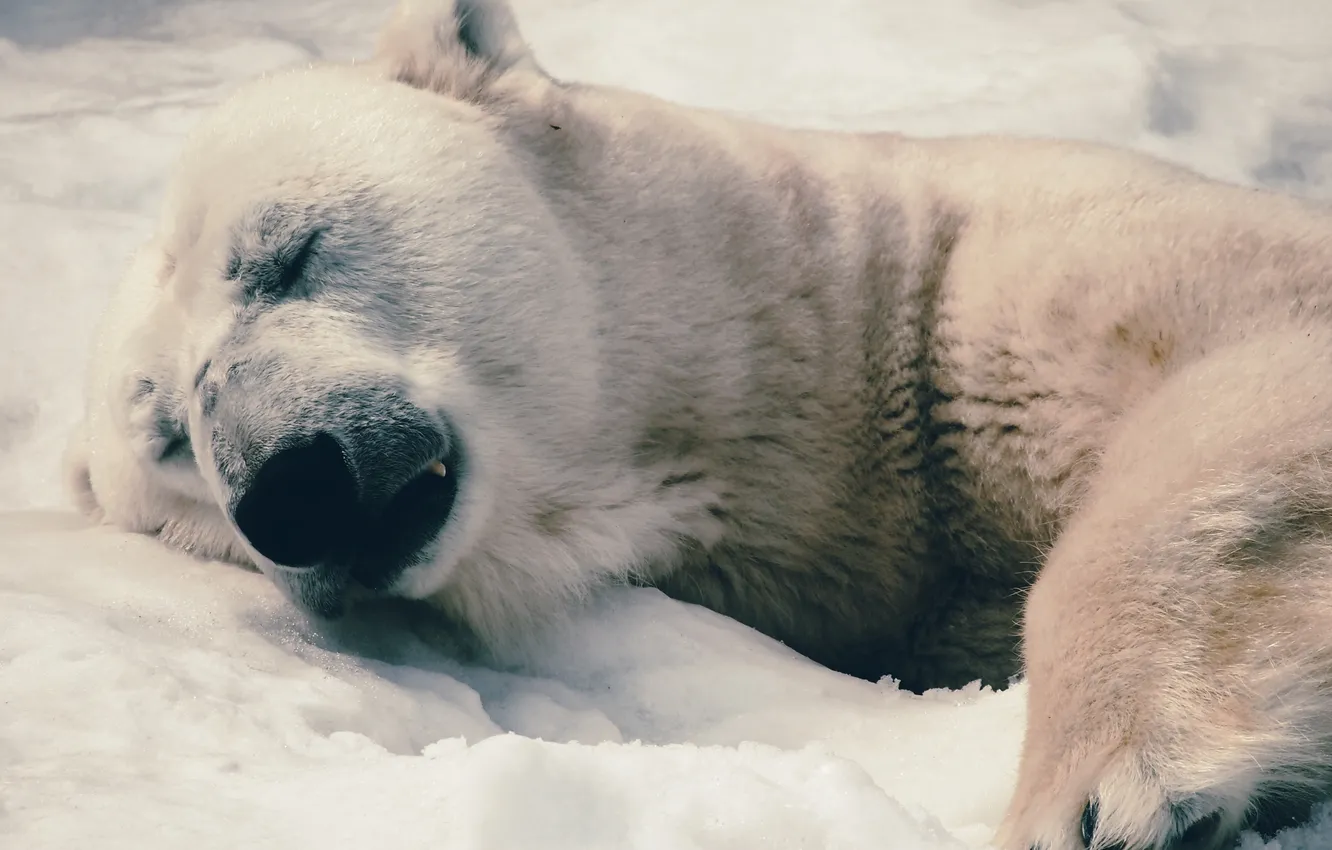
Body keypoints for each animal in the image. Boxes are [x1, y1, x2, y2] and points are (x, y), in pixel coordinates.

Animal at [63, 0, 1332, 847]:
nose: (289, 486)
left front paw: (1099, 790)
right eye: (170, 432)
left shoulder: (1017, 279)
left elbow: (1247, 363)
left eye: (289, 250)